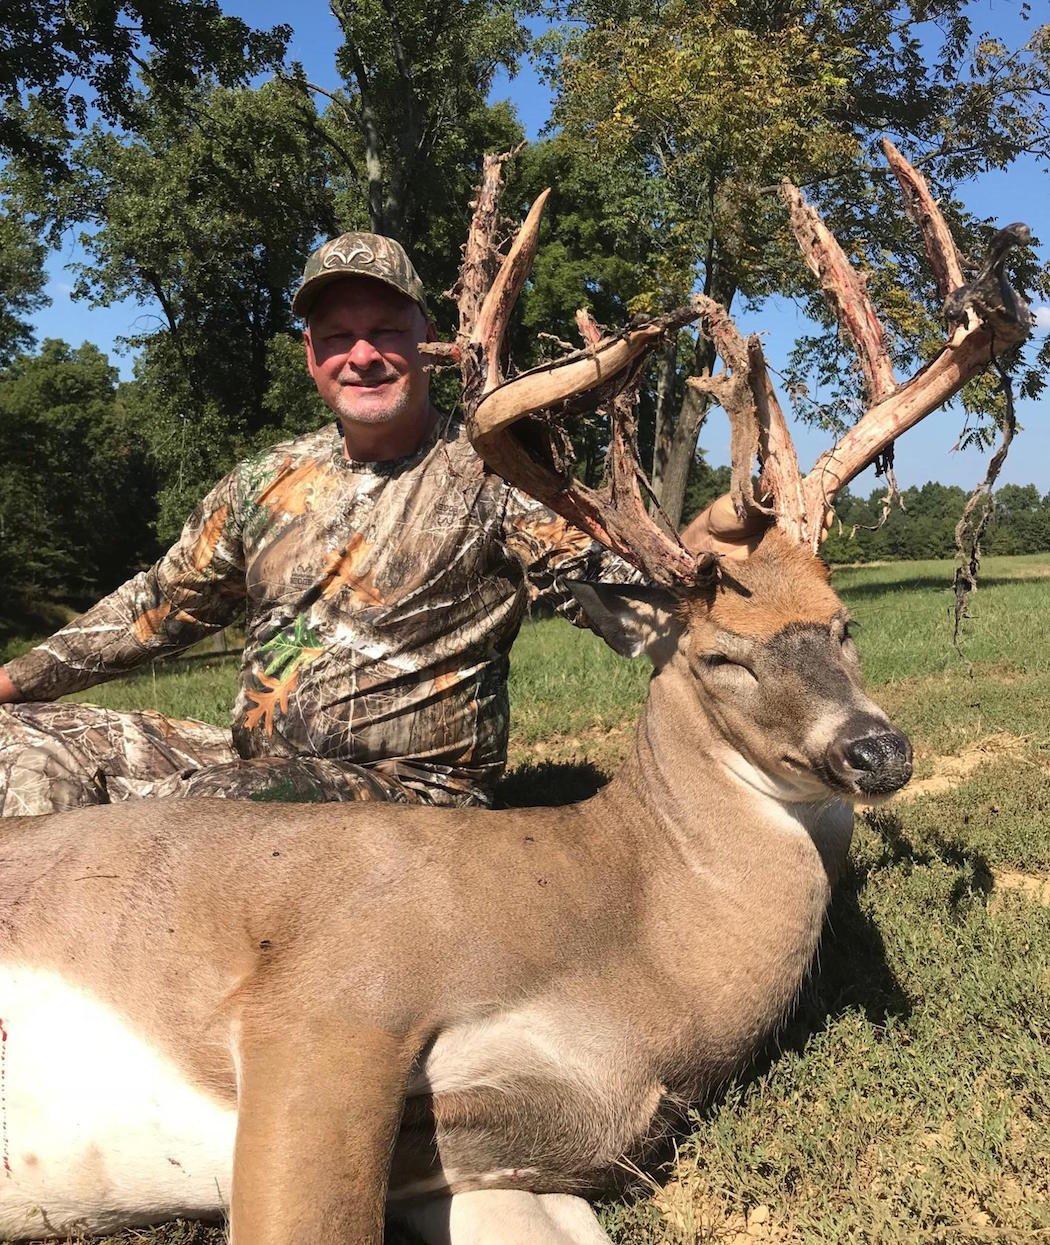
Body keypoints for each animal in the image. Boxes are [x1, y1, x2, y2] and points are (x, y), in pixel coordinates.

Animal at [0, 142, 1031, 1245]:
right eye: (722, 657)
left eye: (845, 624)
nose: (877, 750)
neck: (632, 945)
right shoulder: (333, 989)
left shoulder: (508, 1151)